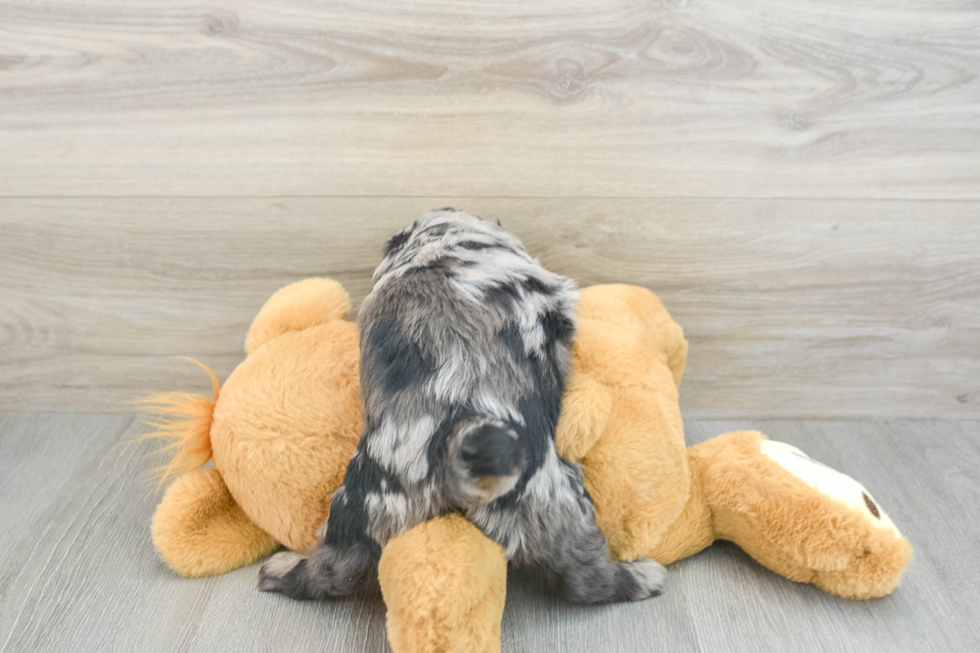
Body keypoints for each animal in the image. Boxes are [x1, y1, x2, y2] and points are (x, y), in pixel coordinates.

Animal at [258, 209, 668, 600]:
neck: (434, 246)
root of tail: (445, 450)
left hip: (354, 516)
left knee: (329, 572)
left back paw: (279, 571)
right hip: (561, 504)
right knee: (588, 580)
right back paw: (642, 576)